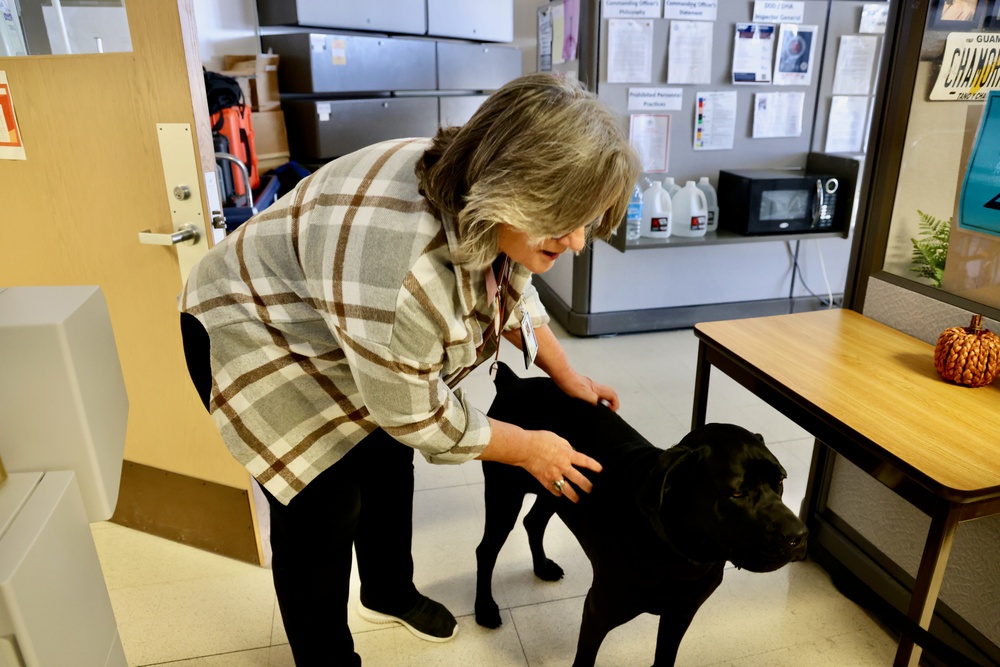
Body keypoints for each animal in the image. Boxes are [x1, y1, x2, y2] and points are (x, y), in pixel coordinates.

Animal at [472, 366, 808, 667]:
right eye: (737, 494)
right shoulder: (598, 612)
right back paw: (485, 608)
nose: (799, 536)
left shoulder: (680, 615)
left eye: (780, 480)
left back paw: (542, 566)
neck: (679, 554)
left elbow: (663, 660)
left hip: (557, 486)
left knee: (533, 522)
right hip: (504, 495)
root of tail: (513, 381)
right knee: (486, 550)